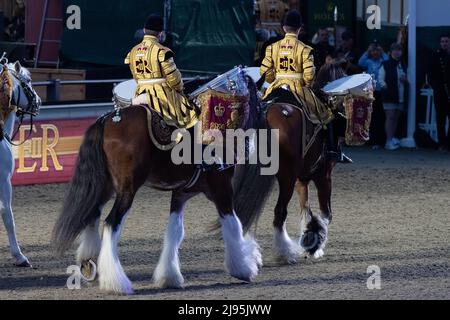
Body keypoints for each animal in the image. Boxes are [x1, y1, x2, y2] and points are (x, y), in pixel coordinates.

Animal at [51, 74, 264, 294]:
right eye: (259, 101)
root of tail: (107, 120)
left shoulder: (181, 194)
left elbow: (175, 231)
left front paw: (169, 276)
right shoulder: (221, 189)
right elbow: (233, 224)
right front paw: (244, 267)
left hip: (104, 187)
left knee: (92, 215)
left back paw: (90, 263)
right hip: (127, 190)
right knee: (111, 223)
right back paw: (116, 282)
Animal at [234, 63, 346, 264]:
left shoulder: (302, 179)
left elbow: (305, 210)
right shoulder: (323, 176)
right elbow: (326, 214)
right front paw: (314, 243)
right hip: (287, 178)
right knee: (279, 213)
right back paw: (285, 252)